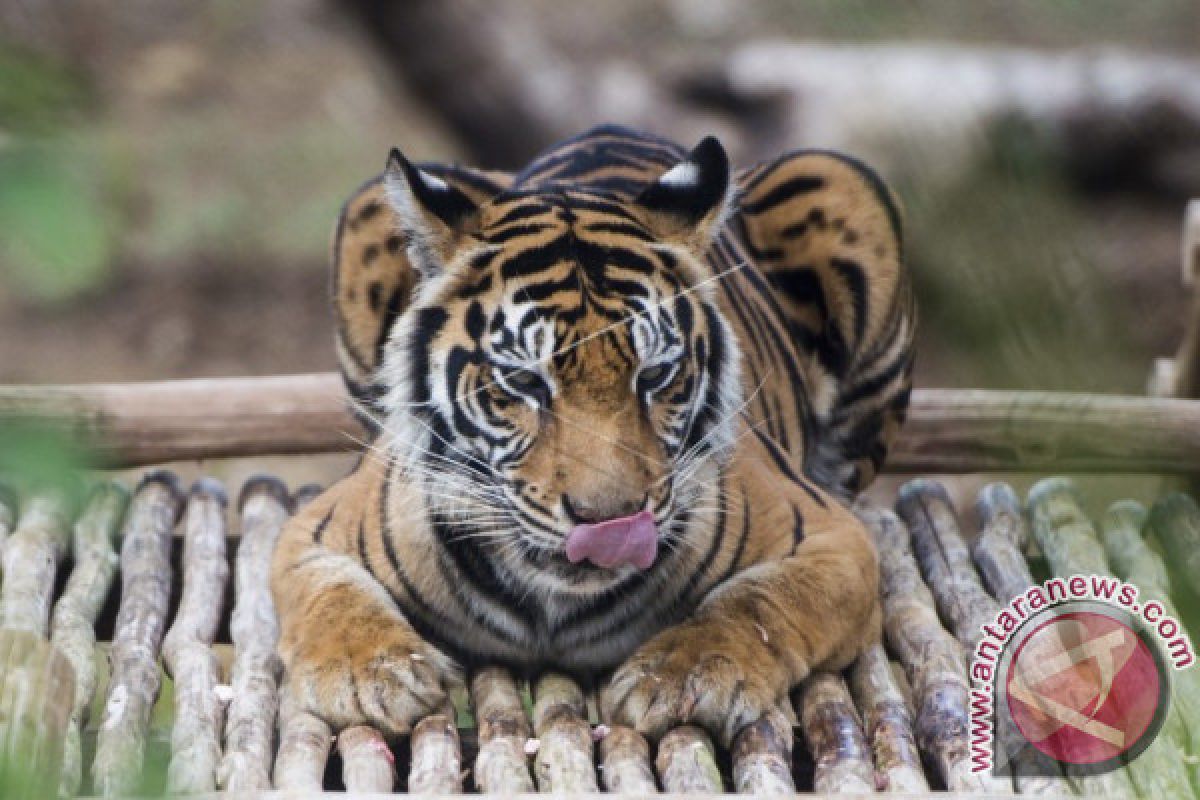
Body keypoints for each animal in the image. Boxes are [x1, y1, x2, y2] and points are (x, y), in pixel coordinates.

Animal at [270, 122, 907, 748]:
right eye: (525, 380)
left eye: (654, 375)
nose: (611, 525)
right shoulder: (314, 531)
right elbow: (333, 598)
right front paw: (369, 674)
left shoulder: (831, 537)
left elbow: (757, 601)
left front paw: (685, 674)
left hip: (837, 181)